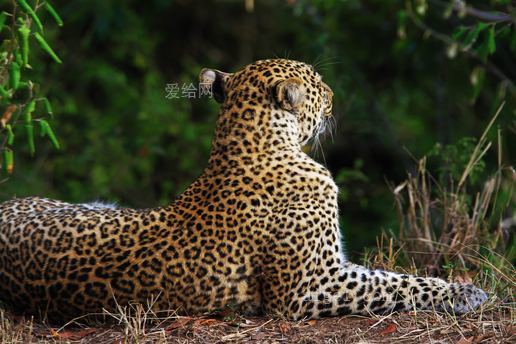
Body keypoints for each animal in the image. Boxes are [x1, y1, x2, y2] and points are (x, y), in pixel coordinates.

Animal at [0, 57, 488, 322]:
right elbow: (397, 284)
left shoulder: (330, 268)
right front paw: (465, 294)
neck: (251, 143)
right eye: (317, 84)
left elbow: (387, 275)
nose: (334, 94)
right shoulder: (307, 286)